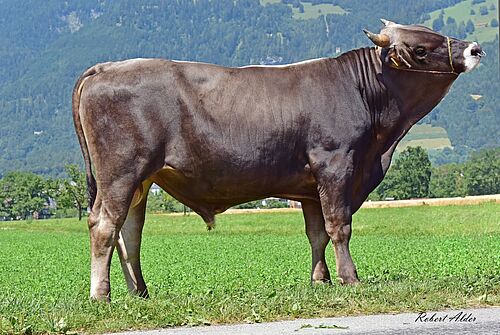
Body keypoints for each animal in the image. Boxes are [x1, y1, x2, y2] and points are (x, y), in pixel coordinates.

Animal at [72, 19, 482, 300]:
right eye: (419, 49)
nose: (475, 48)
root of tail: (108, 67)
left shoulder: (310, 186)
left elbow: (317, 233)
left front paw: (320, 281)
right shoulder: (335, 165)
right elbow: (339, 226)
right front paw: (349, 279)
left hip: (140, 180)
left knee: (129, 232)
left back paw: (140, 293)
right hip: (120, 173)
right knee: (104, 226)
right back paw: (101, 295)